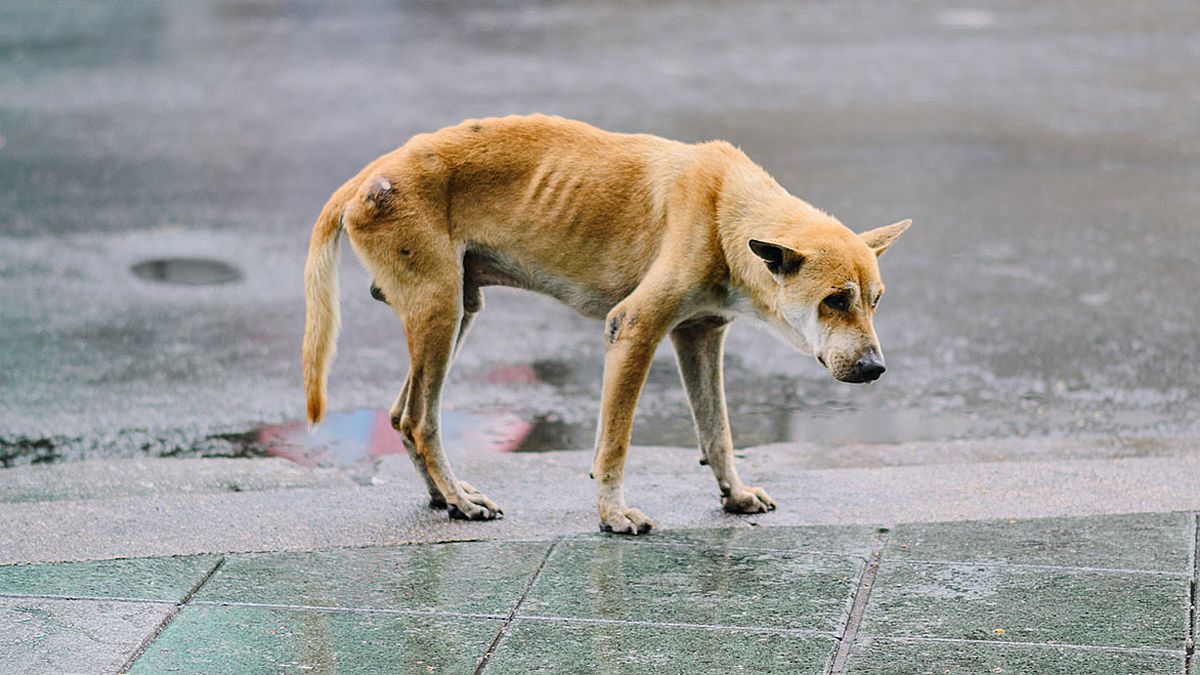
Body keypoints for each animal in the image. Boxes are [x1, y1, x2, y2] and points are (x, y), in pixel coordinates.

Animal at [304, 112, 912, 533]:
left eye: (875, 300)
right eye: (835, 300)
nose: (875, 368)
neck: (726, 211)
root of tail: (370, 174)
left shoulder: (699, 336)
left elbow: (717, 432)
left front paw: (733, 494)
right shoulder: (634, 329)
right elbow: (614, 444)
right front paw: (612, 514)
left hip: (456, 311)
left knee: (401, 414)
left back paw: (441, 496)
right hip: (438, 310)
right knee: (421, 421)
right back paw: (457, 500)